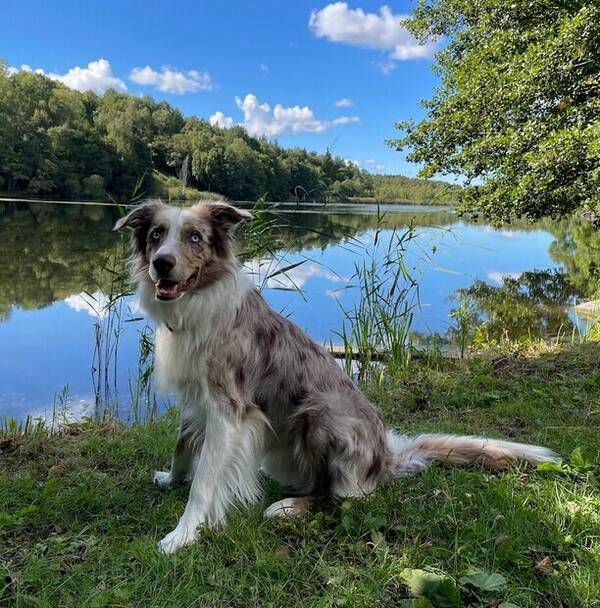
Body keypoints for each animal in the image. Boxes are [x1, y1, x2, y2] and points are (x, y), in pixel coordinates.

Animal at [116, 202, 556, 552]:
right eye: (157, 235)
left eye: (194, 237)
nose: (162, 263)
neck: (198, 304)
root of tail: (385, 457)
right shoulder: (196, 401)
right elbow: (182, 449)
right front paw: (170, 479)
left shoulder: (229, 408)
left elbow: (205, 482)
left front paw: (183, 534)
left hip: (319, 414)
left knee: (338, 496)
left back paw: (289, 506)